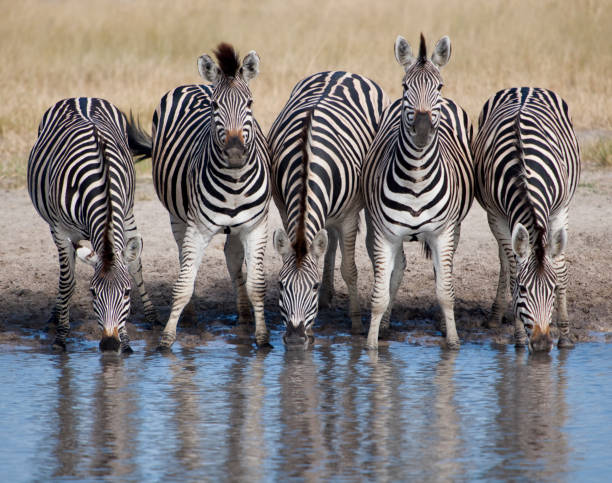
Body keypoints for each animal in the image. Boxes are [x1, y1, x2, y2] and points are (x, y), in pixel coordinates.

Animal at [27, 96, 159, 354]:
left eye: (127, 292)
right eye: (93, 293)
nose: (109, 344)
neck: (101, 184)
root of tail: (80, 97)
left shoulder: (124, 215)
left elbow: (133, 266)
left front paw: (126, 343)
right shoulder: (61, 230)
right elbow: (68, 282)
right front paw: (61, 338)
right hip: (57, 227)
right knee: (66, 274)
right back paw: (57, 315)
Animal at [145, 43, 272, 350]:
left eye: (250, 104)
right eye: (215, 106)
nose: (236, 153)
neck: (235, 183)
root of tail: (196, 84)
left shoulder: (255, 227)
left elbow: (257, 285)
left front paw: (262, 339)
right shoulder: (198, 228)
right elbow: (183, 284)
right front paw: (166, 340)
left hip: (237, 226)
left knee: (232, 257)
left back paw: (243, 315)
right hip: (177, 216)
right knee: (184, 259)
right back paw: (190, 316)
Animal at [268, 70, 388, 348]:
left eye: (312, 286)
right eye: (281, 285)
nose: (295, 338)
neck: (306, 164)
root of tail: (340, 71)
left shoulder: (349, 216)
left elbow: (349, 270)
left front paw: (356, 323)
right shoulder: (284, 208)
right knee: (328, 244)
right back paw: (327, 296)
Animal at [360, 35, 476, 352]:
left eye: (439, 86)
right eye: (405, 86)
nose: (423, 129)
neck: (416, 178)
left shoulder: (442, 233)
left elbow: (446, 291)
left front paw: (453, 342)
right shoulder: (385, 234)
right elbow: (379, 295)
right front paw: (371, 347)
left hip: (455, 226)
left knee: (442, 272)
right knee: (398, 270)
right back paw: (386, 325)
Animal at [470, 87, 580, 352]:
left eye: (552, 289)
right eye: (523, 289)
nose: (540, 344)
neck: (523, 173)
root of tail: (524, 87)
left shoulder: (560, 210)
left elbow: (560, 266)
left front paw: (565, 335)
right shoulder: (497, 216)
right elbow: (512, 270)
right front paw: (519, 337)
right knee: (504, 258)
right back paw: (496, 315)